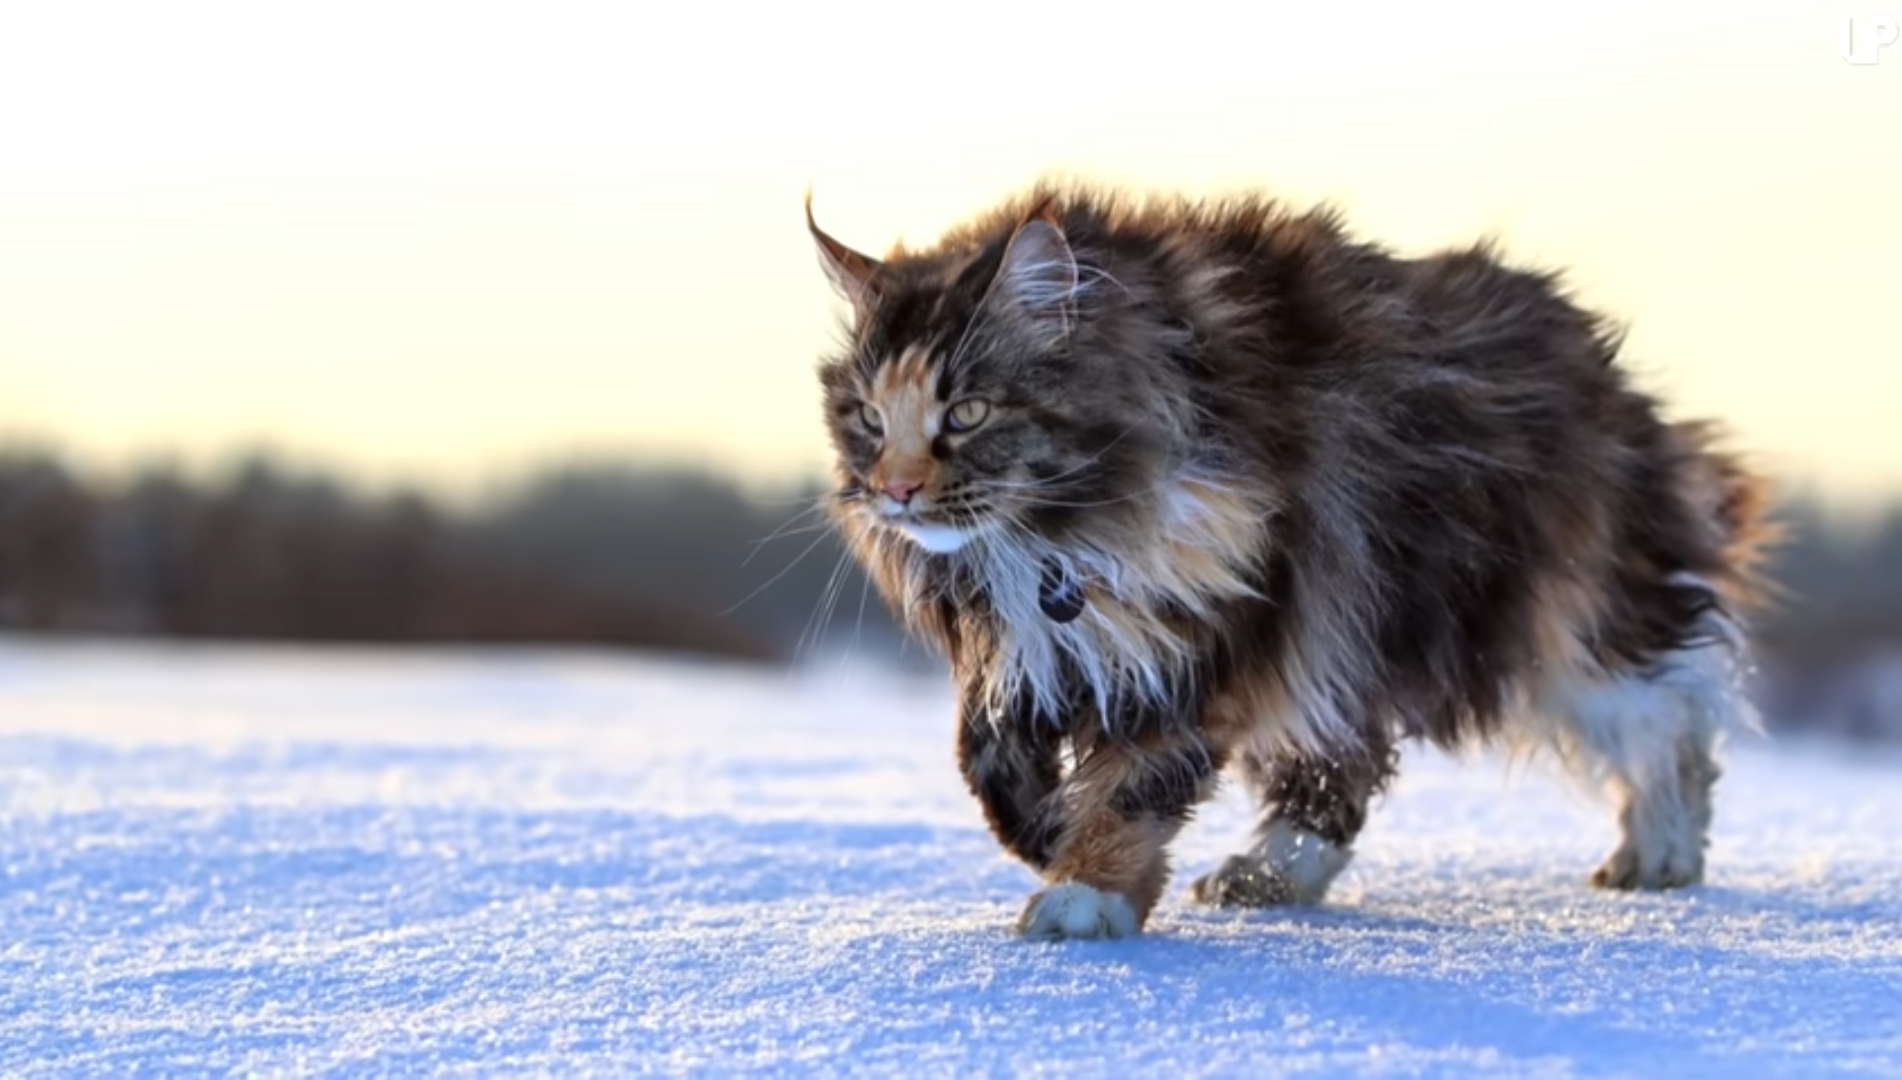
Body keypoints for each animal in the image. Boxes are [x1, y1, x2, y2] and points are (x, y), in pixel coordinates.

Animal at [798, 181, 1765, 939]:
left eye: (967, 413)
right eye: (869, 419)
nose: (895, 490)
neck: (1052, 537)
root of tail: (1600, 360)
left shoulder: (1221, 618)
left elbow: (1133, 784)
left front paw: (1086, 893)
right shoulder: (1033, 641)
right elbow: (987, 754)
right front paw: (1044, 833)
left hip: (1547, 602)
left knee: (1669, 712)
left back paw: (1663, 849)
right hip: (1351, 629)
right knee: (1341, 766)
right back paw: (1268, 876)